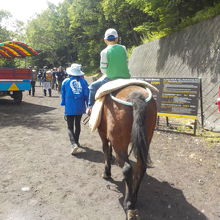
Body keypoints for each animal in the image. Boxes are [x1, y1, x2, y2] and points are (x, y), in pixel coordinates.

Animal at [97, 85, 156, 219]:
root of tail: (136, 97)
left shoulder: (102, 133)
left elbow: (106, 150)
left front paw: (106, 173)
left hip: (119, 143)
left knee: (127, 168)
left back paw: (128, 204)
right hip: (146, 139)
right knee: (141, 168)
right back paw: (133, 200)